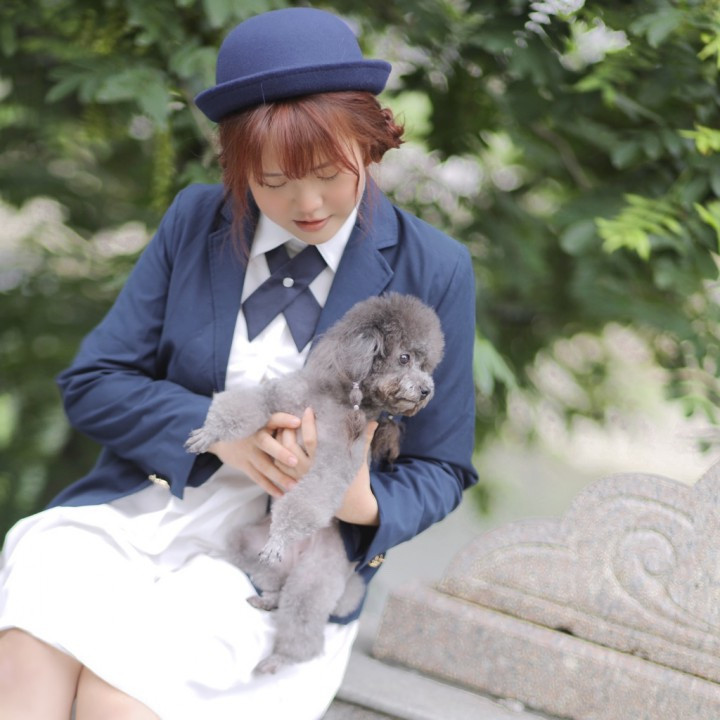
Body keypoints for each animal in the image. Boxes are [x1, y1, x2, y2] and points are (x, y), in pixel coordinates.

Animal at [185, 292, 445, 673]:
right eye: (405, 357)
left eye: (427, 366)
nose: (427, 390)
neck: (336, 398)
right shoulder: (279, 398)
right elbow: (243, 405)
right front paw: (210, 433)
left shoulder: (335, 464)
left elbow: (311, 499)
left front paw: (280, 536)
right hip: (245, 544)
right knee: (274, 581)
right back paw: (269, 598)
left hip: (315, 580)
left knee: (304, 632)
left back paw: (279, 658)